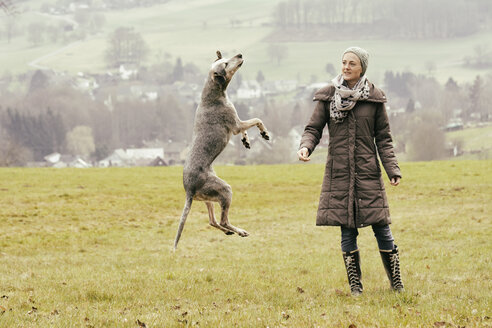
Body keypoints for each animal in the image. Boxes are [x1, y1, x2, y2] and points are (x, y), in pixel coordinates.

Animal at [173, 50, 270, 249]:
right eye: (225, 64)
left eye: (226, 58)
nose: (239, 54)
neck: (213, 93)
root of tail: (189, 190)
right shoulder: (235, 123)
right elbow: (256, 120)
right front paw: (264, 133)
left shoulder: (237, 126)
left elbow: (246, 130)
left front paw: (246, 140)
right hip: (224, 190)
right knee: (223, 219)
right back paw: (239, 231)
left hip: (208, 198)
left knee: (213, 220)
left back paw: (229, 231)